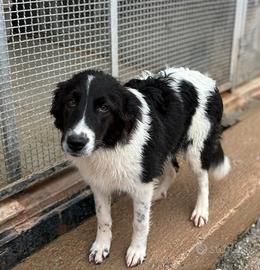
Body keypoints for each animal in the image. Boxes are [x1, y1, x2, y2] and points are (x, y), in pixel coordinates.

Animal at [50, 67, 230, 266]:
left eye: (104, 108)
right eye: (71, 102)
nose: (76, 143)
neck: (110, 144)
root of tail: (207, 77)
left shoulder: (142, 183)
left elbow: (140, 223)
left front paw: (137, 251)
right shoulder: (100, 185)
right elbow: (103, 219)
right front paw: (101, 247)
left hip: (195, 149)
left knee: (203, 179)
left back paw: (201, 211)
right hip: (163, 147)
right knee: (173, 169)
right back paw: (159, 193)